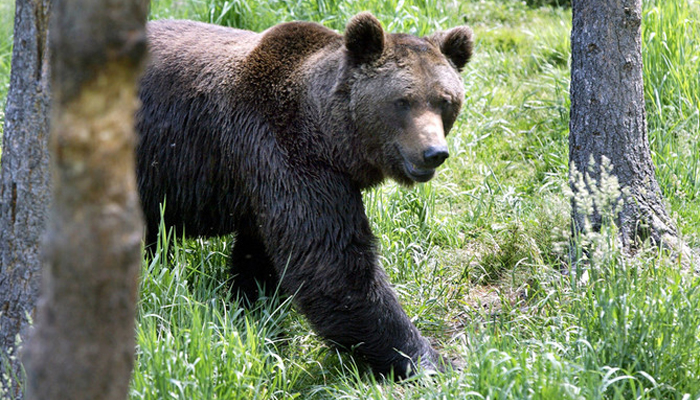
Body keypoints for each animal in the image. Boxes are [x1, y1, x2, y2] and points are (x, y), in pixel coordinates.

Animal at [136, 12, 474, 378]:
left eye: (445, 101)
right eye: (403, 101)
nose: (433, 152)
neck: (330, 137)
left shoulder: (267, 178)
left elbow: (263, 256)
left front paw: (253, 306)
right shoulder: (287, 153)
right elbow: (334, 266)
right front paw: (429, 360)